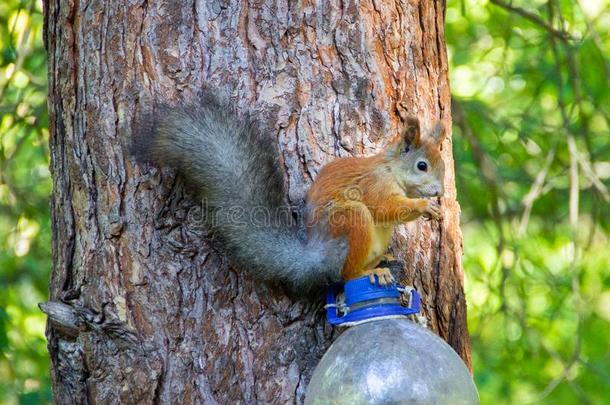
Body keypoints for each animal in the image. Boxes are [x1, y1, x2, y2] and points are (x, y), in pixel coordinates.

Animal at [135, 94, 444, 290]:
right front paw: (423, 207)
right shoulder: (374, 184)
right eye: (422, 165)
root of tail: (317, 255)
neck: (392, 170)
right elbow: (384, 207)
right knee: (346, 274)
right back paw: (369, 271)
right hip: (349, 220)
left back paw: (383, 260)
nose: (440, 192)